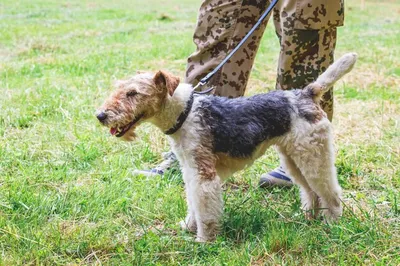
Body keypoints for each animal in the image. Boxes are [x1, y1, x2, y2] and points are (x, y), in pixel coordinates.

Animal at [96, 53, 356, 242]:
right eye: (119, 88)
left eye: (133, 93)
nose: (100, 115)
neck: (185, 112)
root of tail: (306, 93)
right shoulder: (190, 171)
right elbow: (193, 204)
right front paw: (188, 226)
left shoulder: (203, 175)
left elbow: (205, 210)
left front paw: (204, 240)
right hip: (294, 158)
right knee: (310, 191)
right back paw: (307, 218)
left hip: (313, 155)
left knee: (330, 193)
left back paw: (332, 224)